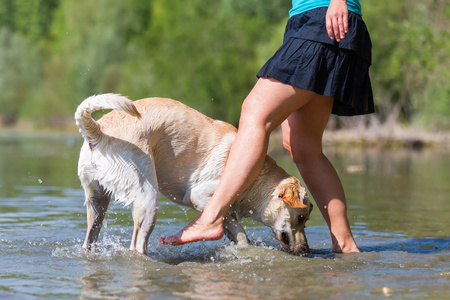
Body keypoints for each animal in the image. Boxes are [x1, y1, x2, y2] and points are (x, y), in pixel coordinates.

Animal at [74, 94, 312, 255]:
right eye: (301, 217)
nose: (306, 250)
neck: (257, 176)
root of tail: (98, 132)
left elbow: (237, 231)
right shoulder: (201, 195)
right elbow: (231, 223)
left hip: (97, 201)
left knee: (89, 239)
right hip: (147, 198)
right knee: (137, 247)